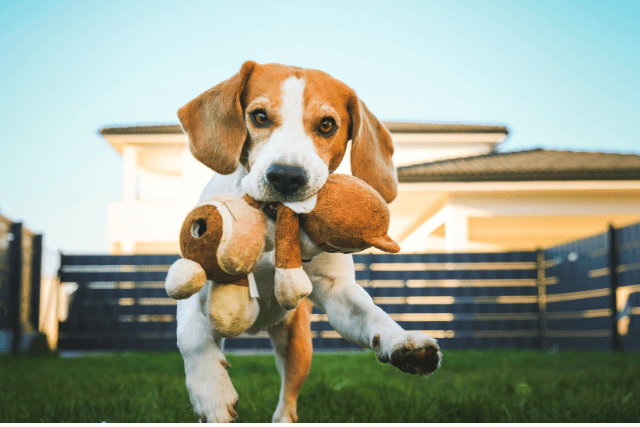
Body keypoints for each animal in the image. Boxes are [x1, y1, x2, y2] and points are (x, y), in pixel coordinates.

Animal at [176, 61, 444, 422]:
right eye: (259, 116)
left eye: (327, 125)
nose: (286, 176)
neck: (273, 227)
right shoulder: (194, 275)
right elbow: (190, 334)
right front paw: (210, 390)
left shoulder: (336, 290)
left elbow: (372, 314)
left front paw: (401, 341)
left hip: (298, 344)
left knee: (287, 401)